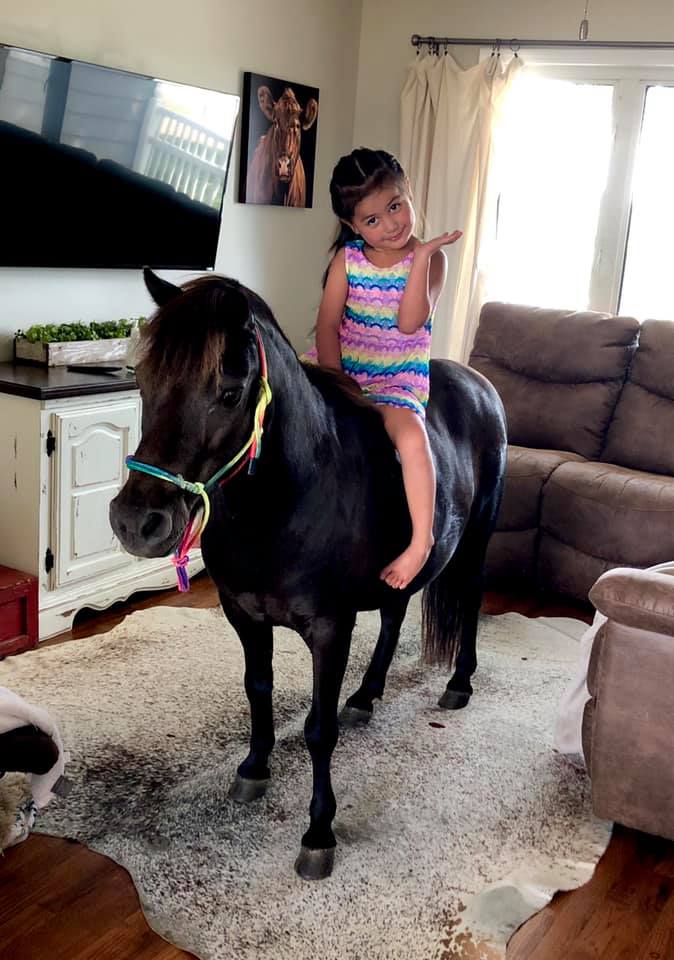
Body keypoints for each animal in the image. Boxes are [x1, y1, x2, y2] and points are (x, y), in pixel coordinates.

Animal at [109, 268, 507, 881]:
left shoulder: (329, 630)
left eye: (228, 392)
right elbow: (257, 689)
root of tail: (479, 384)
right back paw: (366, 695)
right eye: (143, 381)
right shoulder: (243, 615)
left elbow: (320, 731)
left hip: (476, 540)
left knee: (469, 601)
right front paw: (253, 769)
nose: (137, 522)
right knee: (395, 615)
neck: (289, 498)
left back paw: (459, 682)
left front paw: (319, 833)